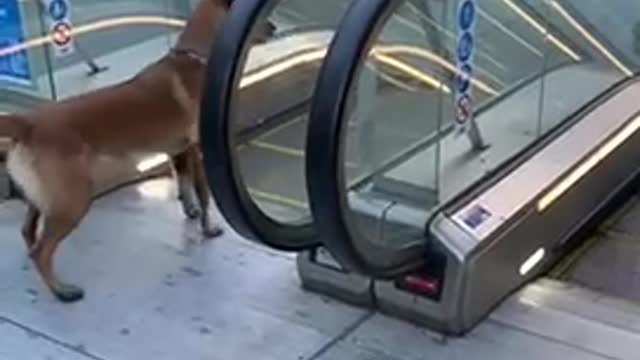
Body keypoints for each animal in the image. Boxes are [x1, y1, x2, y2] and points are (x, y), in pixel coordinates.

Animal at [0, 0, 231, 302]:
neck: (191, 57)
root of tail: (27, 122)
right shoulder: (197, 151)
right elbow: (204, 195)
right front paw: (208, 228)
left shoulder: (179, 151)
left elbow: (184, 184)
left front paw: (190, 211)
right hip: (73, 201)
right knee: (43, 251)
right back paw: (62, 290)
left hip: (44, 198)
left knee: (28, 231)